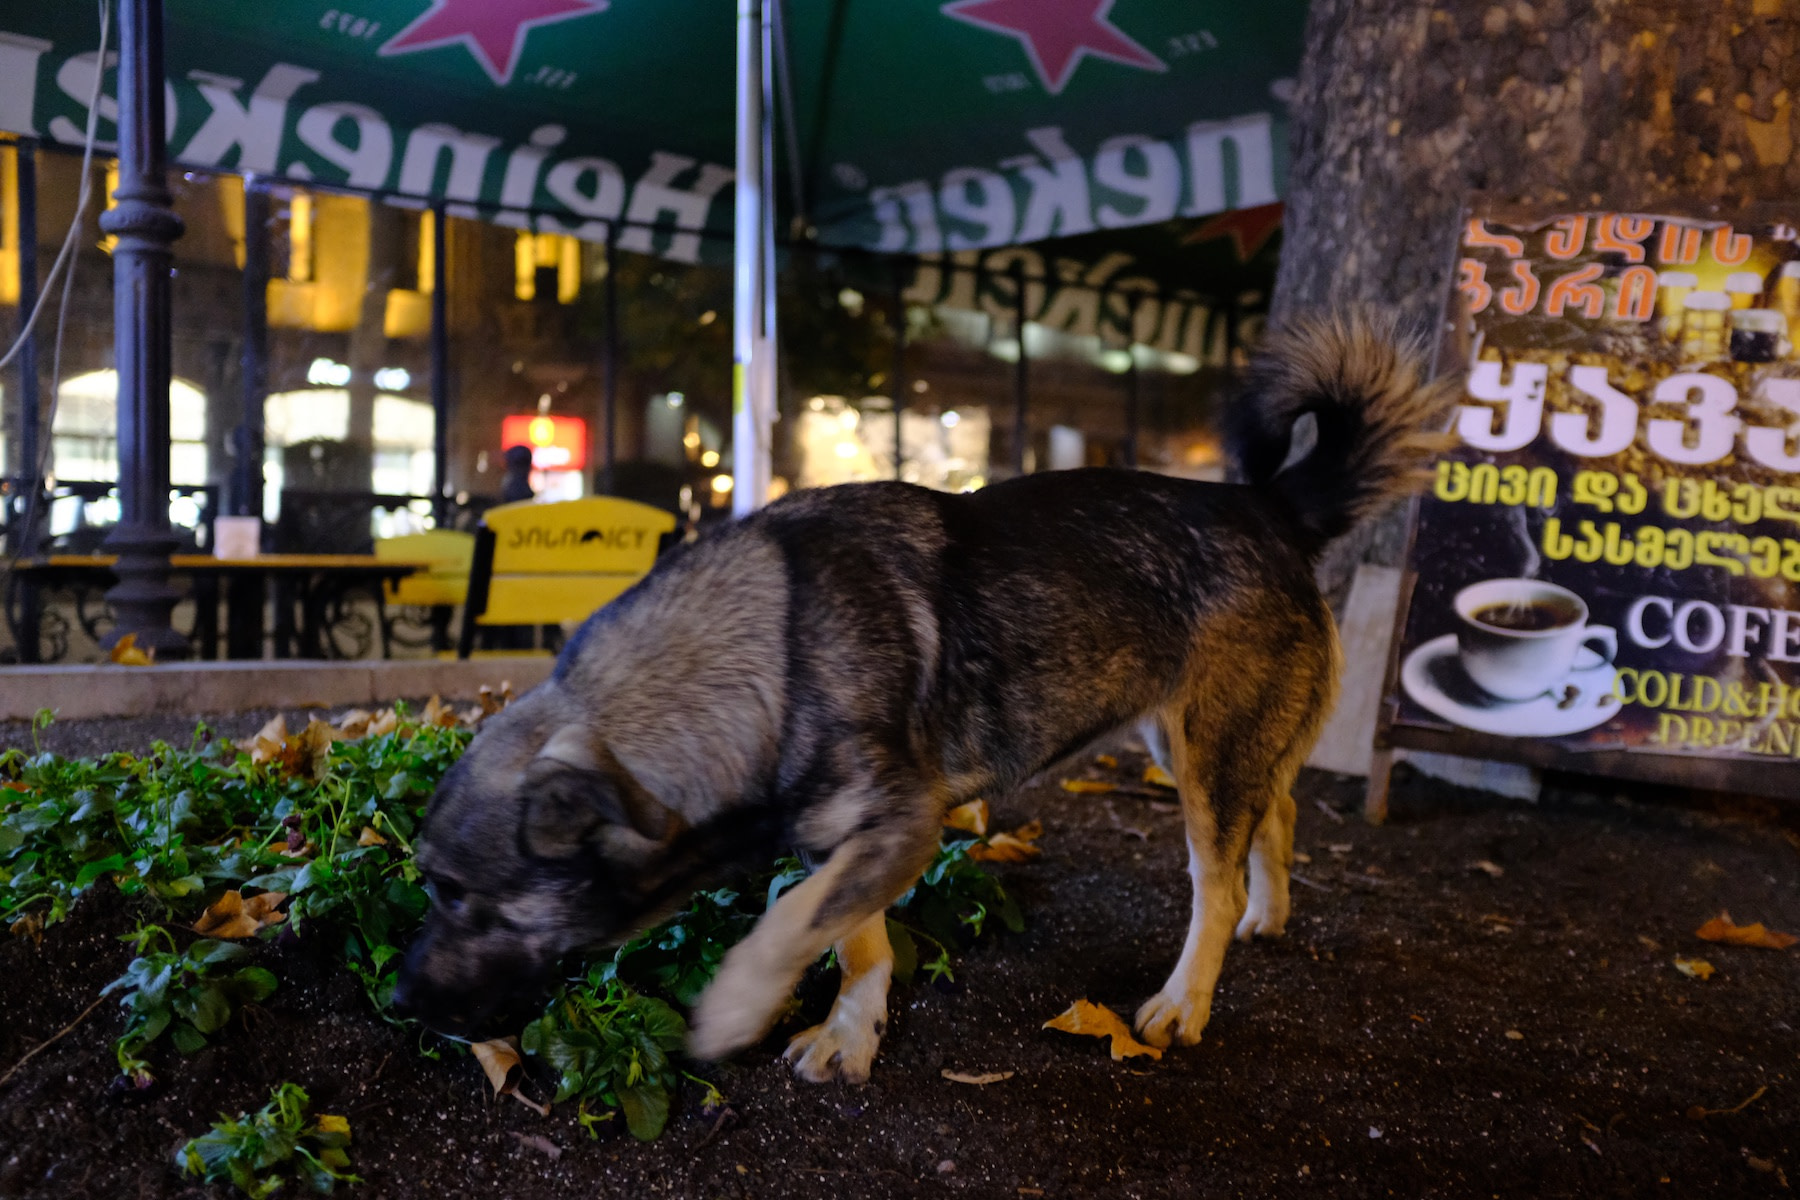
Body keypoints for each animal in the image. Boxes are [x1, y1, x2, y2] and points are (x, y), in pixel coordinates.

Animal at [393, 314, 1454, 1082]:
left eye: (453, 891)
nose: (401, 1004)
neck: (774, 654)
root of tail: (1271, 504)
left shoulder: (899, 825)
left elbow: (789, 922)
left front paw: (737, 1006)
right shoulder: (859, 842)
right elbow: (849, 934)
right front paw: (850, 1029)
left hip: (1203, 754)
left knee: (1216, 878)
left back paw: (1185, 1000)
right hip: (1191, 740)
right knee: (1275, 813)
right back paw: (1269, 914)